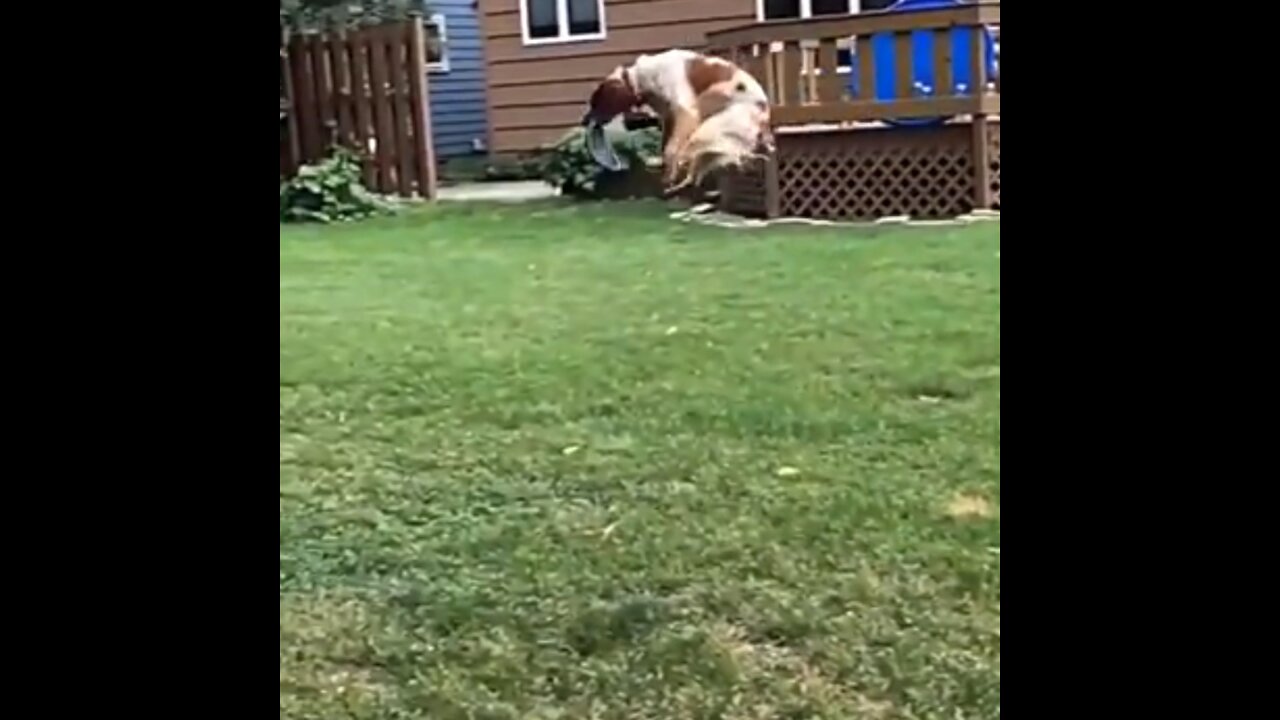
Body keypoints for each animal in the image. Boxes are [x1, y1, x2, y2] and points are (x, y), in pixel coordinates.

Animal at [583, 47, 768, 185]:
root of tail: (764, 111)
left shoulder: (685, 111)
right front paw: (662, 164)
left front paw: (670, 172)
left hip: (711, 125)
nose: (584, 121)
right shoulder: (668, 115)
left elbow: (671, 149)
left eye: (596, 102)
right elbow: (665, 144)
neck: (643, 77)